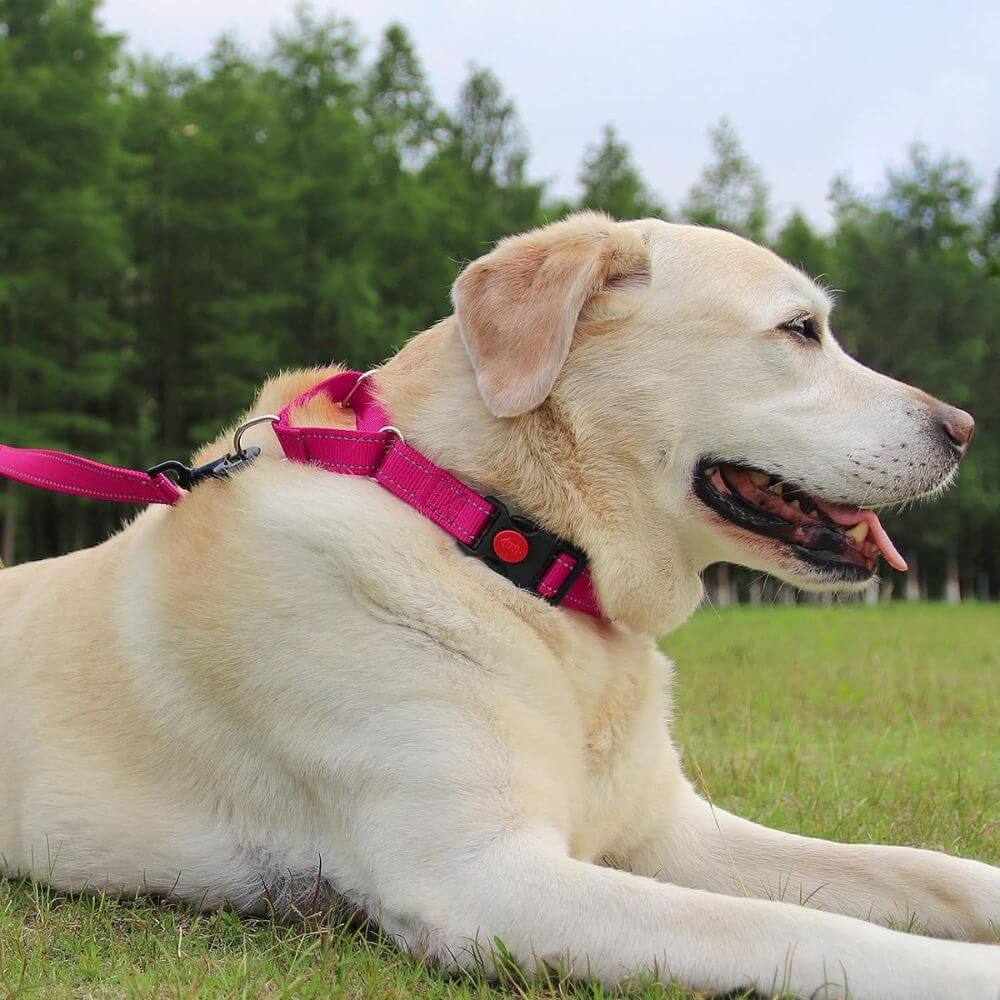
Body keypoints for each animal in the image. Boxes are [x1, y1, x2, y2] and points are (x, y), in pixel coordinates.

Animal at [1, 215, 1000, 996]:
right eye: (800, 331)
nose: (963, 429)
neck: (497, 536)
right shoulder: (482, 878)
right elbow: (797, 932)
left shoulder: (669, 831)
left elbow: (925, 870)